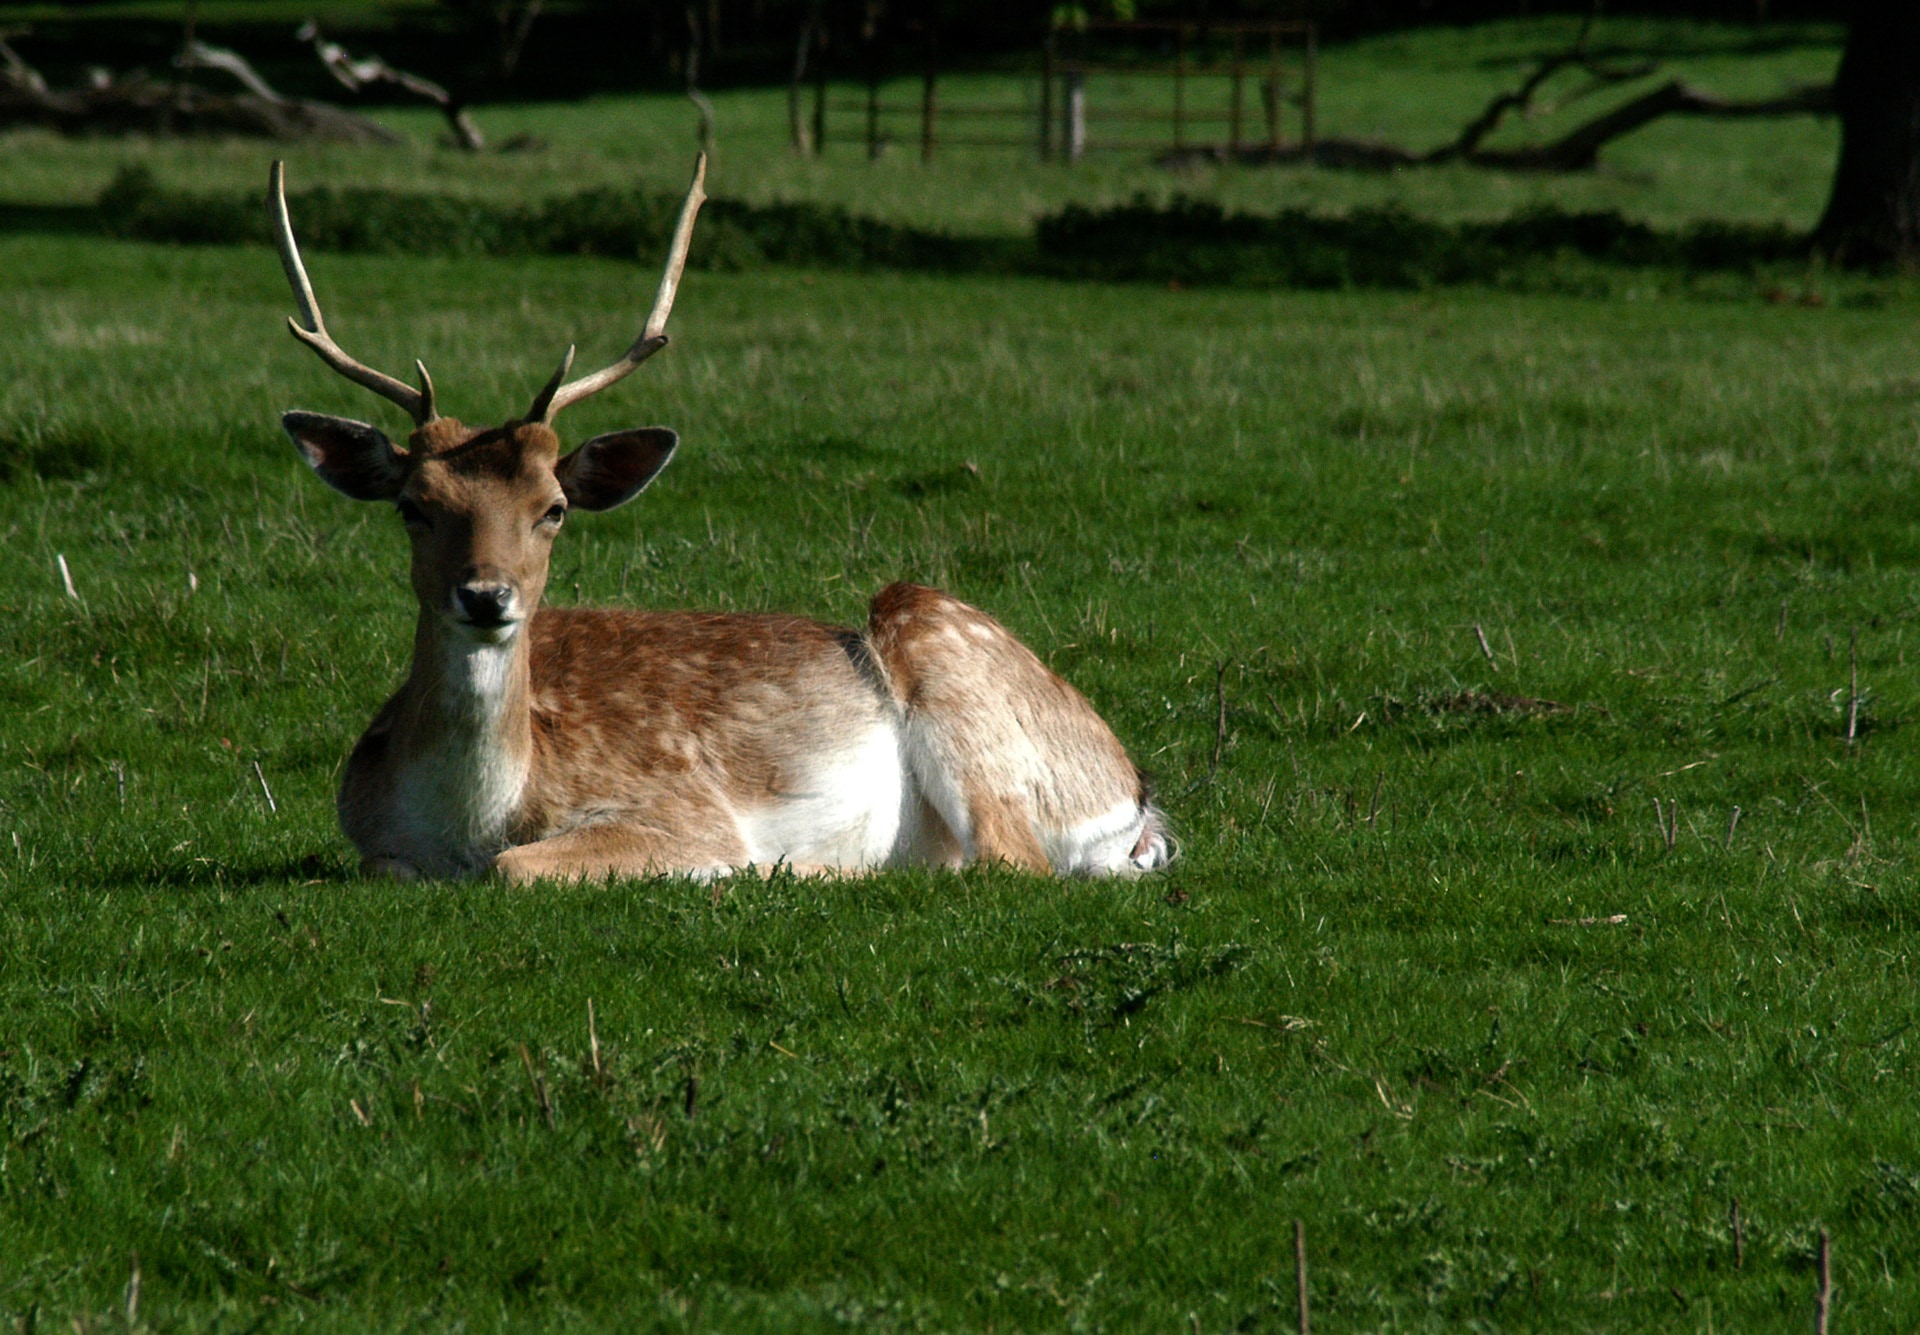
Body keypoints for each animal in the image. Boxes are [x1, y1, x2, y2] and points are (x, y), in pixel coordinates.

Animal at [268, 156, 1167, 883]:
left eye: (552, 509)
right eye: (413, 507)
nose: (487, 595)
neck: (472, 822)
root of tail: (1139, 800)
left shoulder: (677, 804)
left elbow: (517, 866)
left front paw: (732, 866)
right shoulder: (373, 844)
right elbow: (384, 866)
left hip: (943, 654)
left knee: (1007, 860)